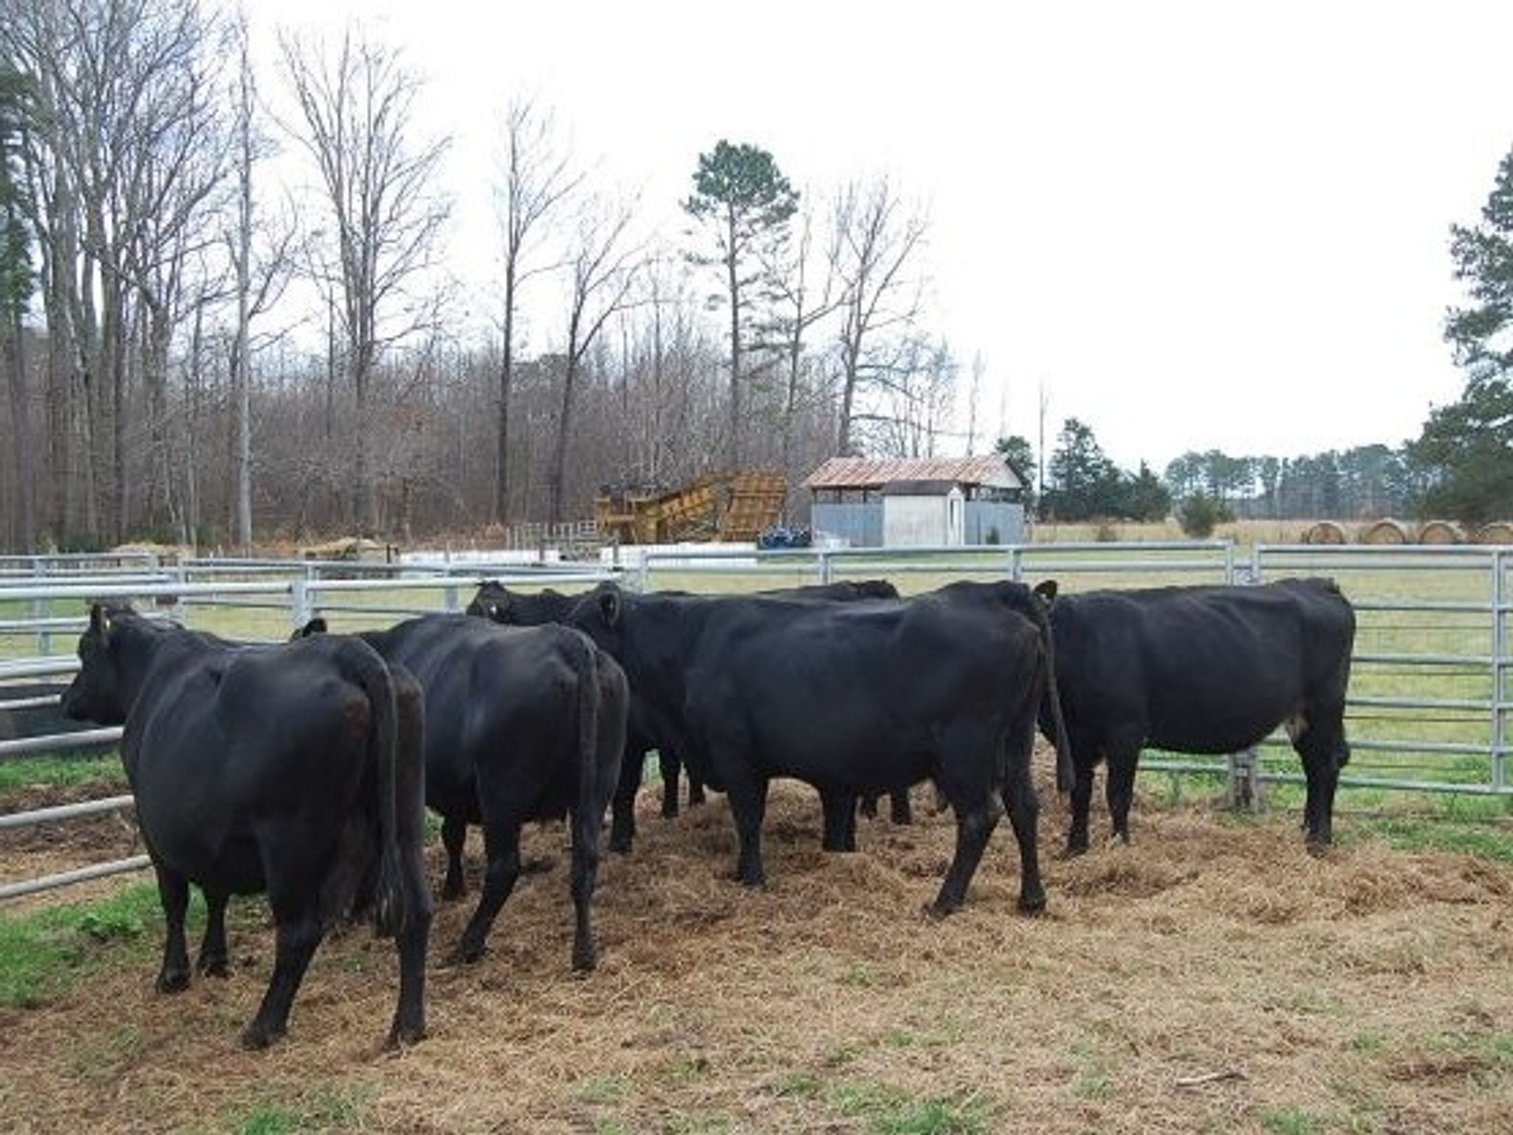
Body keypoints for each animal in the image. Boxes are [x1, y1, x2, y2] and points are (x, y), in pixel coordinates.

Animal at [60, 605, 431, 1050]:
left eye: (83, 651)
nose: (65, 698)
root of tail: (349, 651)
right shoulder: (214, 835)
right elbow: (216, 892)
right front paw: (214, 960)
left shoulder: (155, 830)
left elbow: (175, 899)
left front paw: (174, 974)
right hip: (405, 820)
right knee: (417, 912)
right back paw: (407, 1027)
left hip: (289, 841)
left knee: (298, 932)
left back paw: (264, 1026)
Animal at [295, 613, 628, 971]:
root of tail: (568, 641)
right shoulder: (453, 790)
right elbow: (451, 835)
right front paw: (454, 887)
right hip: (596, 789)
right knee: (585, 862)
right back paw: (584, 953)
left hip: (503, 794)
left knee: (504, 868)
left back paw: (468, 944)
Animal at [563, 579, 1066, 916]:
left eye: (581, 625)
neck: (691, 643)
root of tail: (994, 598)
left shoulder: (735, 753)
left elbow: (748, 818)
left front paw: (751, 877)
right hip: (1014, 743)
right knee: (1024, 807)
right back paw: (1032, 898)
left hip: (966, 751)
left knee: (981, 816)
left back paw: (945, 901)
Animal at [1035, 577, 1355, 855]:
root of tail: (1316, 583)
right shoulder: (1074, 739)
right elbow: (1080, 793)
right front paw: (1075, 848)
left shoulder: (1125, 731)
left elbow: (1117, 795)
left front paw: (1120, 847)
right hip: (1302, 717)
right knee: (1313, 763)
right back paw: (1307, 830)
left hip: (1323, 706)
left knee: (1325, 764)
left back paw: (1320, 840)